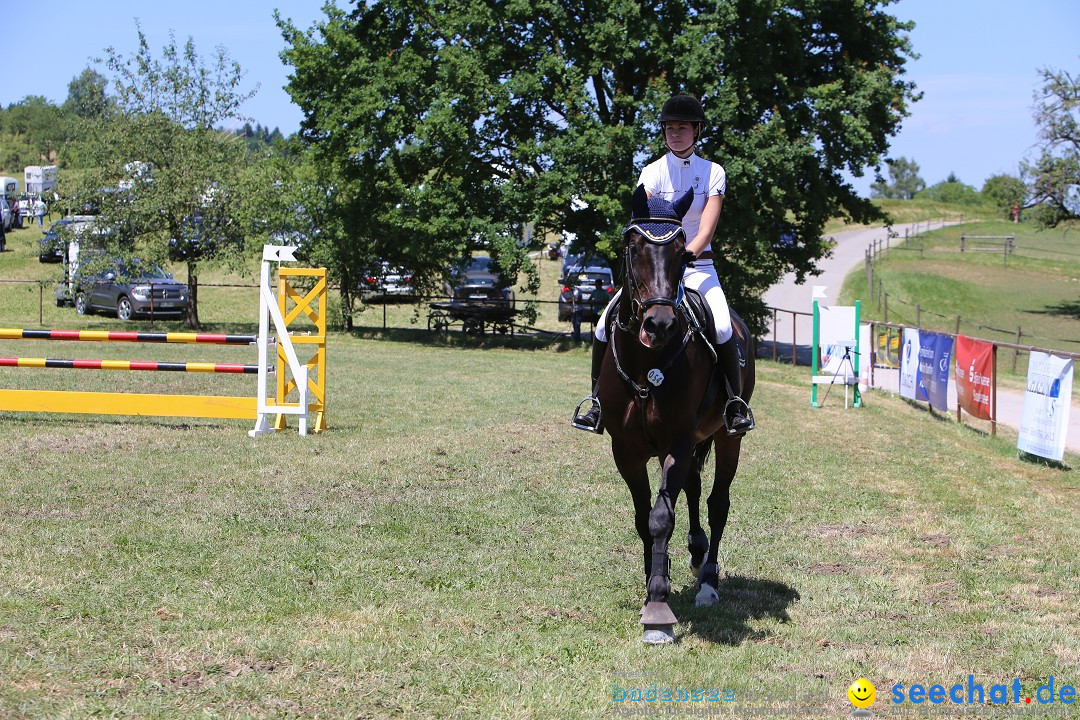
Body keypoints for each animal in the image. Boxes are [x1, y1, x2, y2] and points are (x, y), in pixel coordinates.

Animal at [596, 185, 756, 647]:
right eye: (633, 247)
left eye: (683, 253)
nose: (659, 324)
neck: (646, 364)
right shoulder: (626, 450)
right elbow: (642, 518)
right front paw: (656, 578)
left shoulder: (677, 443)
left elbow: (660, 518)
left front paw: (658, 609)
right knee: (693, 488)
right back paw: (696, 553)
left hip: (727, 436)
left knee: (718, 502)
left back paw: (709, 583)